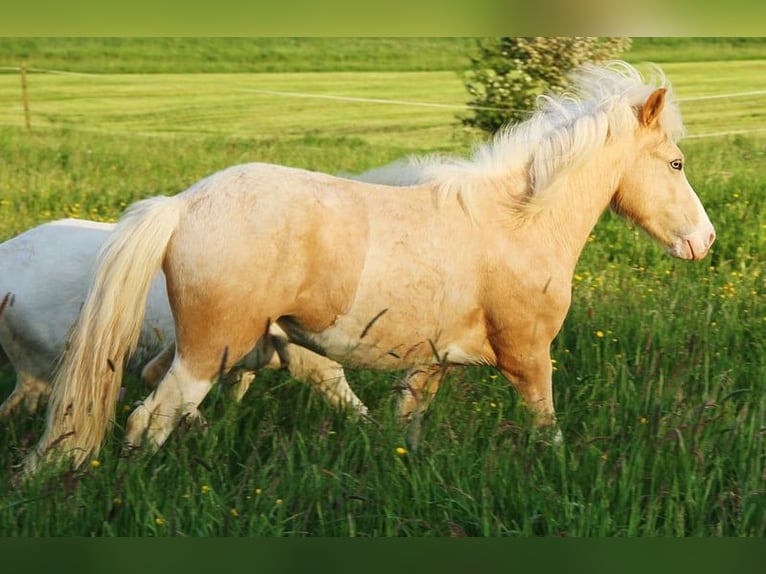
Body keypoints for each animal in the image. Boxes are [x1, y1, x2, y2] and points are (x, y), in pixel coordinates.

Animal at [25, 62, 720, 472]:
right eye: (677, 163)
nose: (705, 241)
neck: (517, 224)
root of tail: (183, 203)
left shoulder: (432, 364)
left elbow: (404, 424)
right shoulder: (527, 355)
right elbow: (547, 427)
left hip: (216, 348)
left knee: (152, 389)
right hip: (209, 349)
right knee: (151, 418)